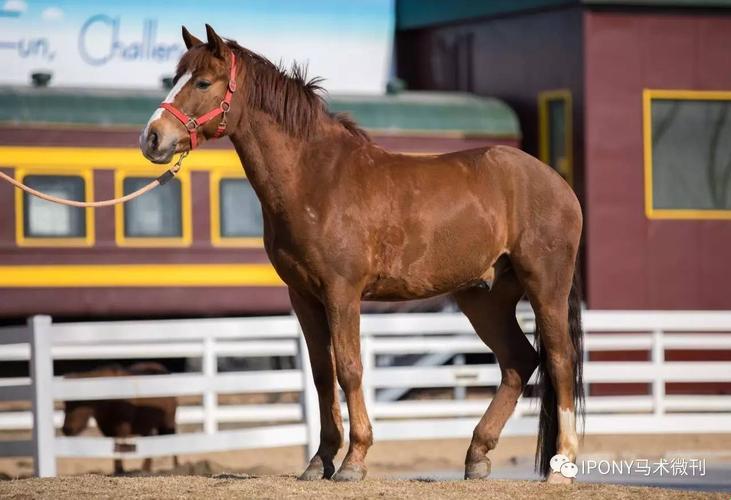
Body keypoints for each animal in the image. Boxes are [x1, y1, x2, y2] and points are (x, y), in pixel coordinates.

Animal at [140, 25, 588, 482]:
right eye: (176, 77)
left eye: (202, 82)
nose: (152, 138)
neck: (315, 178)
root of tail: (556, 183)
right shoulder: (304, 297)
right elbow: (322, 374)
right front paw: (320, 460)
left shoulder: (342, 293)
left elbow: (350, 369)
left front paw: (353, 461)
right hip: (484, 297)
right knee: (518, 361)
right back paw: (477, 455)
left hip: (545, 286)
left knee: (559, 360)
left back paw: (561, 464)